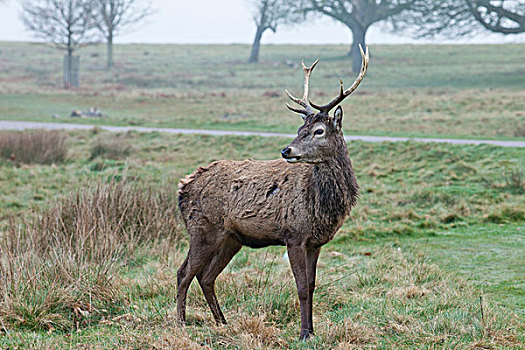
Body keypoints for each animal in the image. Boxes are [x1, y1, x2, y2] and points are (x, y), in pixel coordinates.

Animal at [176, 45, 368, 338]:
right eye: (300, 128)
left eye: (319, 130)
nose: (286, 150)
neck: (321, 205)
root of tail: (183, 188)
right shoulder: (294, 235)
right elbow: (301, 287)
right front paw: (303, 333)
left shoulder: (316, 242)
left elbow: (312, 286)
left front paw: (312, 330)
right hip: (202, 229)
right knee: (183, 273)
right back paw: (180, 323)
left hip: (231, 238)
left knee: (206, 276)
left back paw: (223, 322)